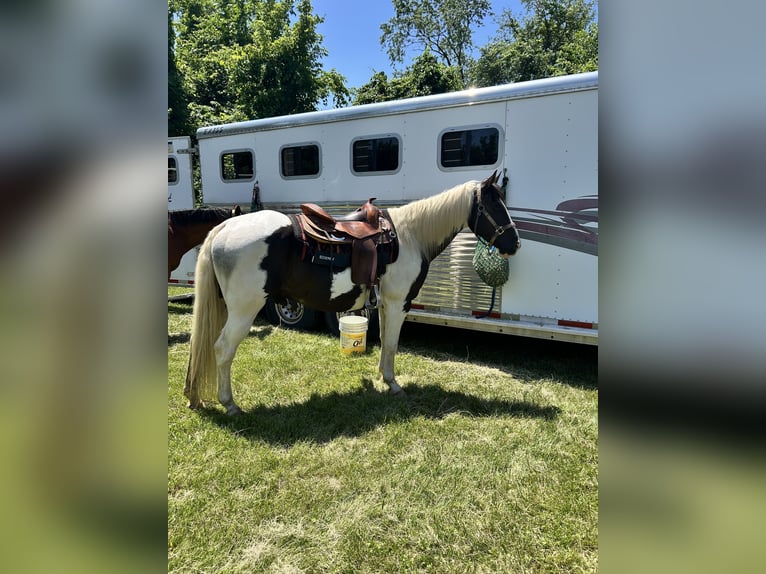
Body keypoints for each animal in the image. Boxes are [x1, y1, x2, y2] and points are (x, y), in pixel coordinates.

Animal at [184, 171, 520, 415]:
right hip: (244, 309)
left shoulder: (384, 304)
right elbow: (393, 343)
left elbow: (384, 341)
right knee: (222, 349)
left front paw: (383, 377)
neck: (410, 236)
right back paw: (229, 404)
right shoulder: (399, 303)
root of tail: (224, 228)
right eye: (494, 206)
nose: (514, 244)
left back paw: (194, 395)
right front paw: (393, 384)